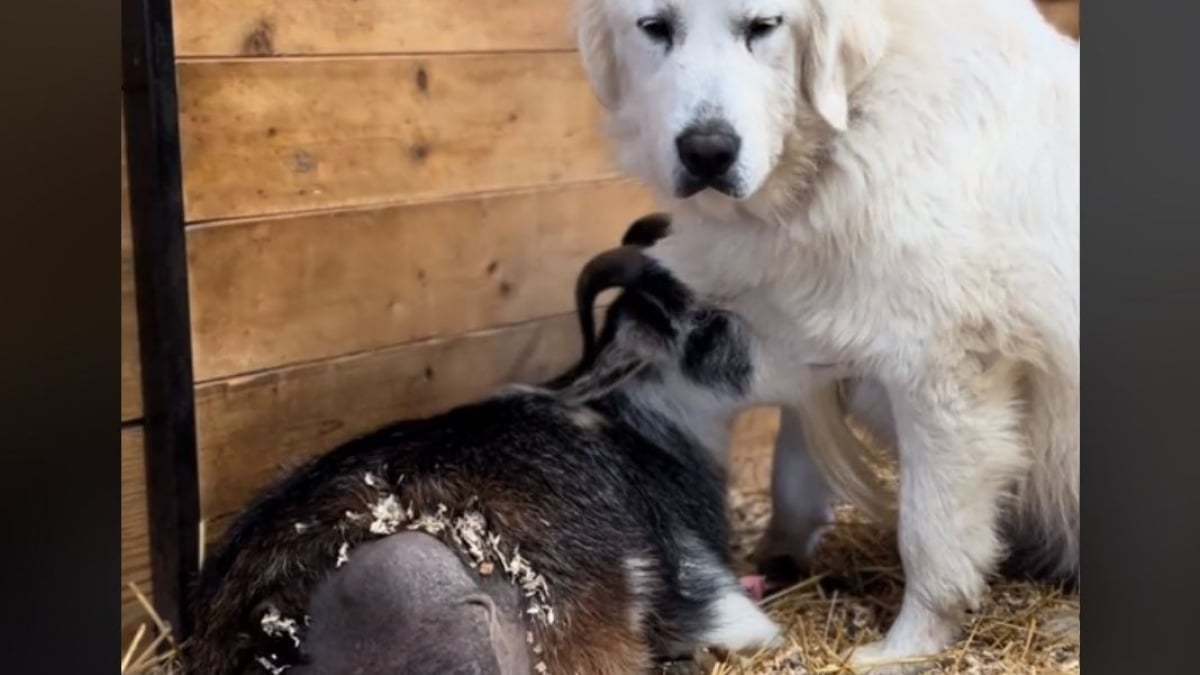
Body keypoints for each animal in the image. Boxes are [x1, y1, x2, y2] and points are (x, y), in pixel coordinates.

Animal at [576, 0, 1084, 667]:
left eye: (764, 28)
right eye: (655, 28)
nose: (708, 152)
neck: (848, 131)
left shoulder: (946, 375)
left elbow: (929, 535)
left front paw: (904, 649)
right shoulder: (808, 354)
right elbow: (792, 469)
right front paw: (778, 555)